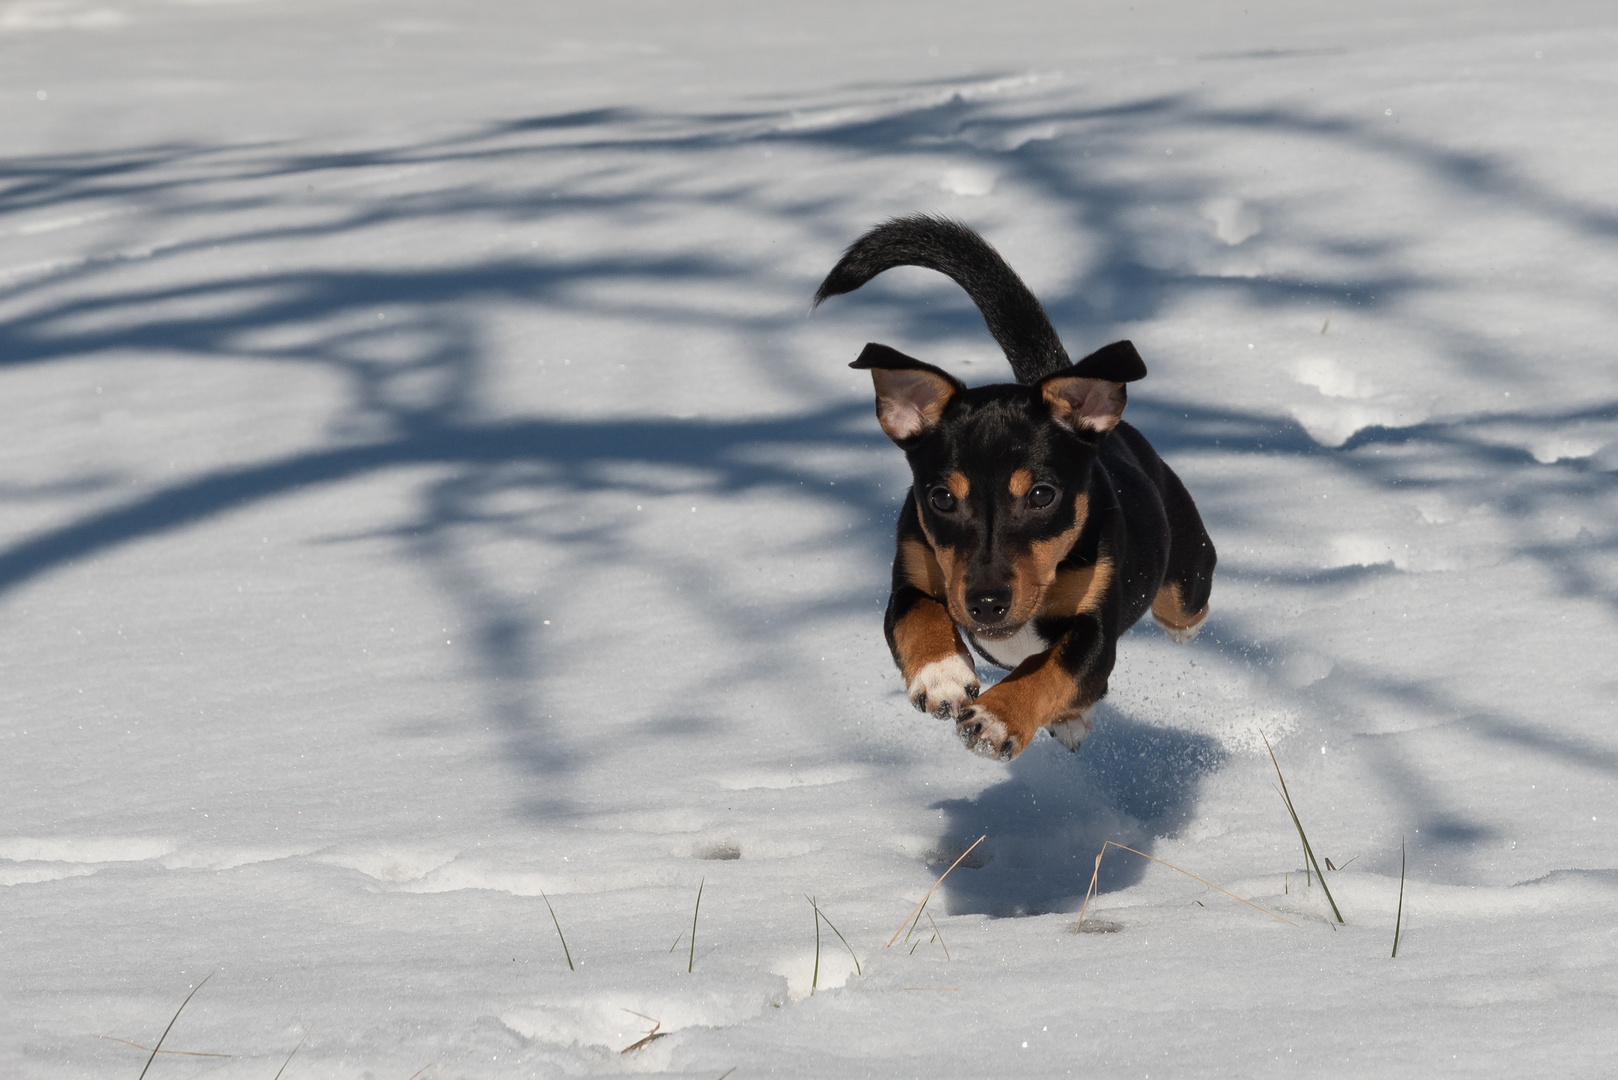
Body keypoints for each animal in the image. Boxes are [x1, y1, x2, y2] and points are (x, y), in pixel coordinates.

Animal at [809, 215, 1216, 761]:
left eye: (1042, 495)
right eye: (941, 497)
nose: (985, 603)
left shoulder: (1094, 627)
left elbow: (1054, 668)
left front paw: (995, 719)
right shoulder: (910, 575)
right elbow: (918, 615)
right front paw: (941, 674)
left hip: (1185, 572)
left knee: (1183, 609)